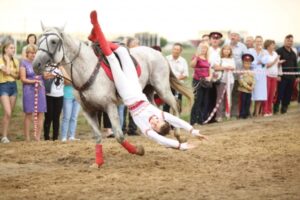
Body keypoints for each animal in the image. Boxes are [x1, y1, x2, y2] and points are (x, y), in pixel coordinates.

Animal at [32, 24, 192, 162]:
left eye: (53, 41)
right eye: (39, 41)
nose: (36, 65)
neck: (86, 68)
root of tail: (158, 53)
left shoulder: (110, 106)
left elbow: (119, 136)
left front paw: (138, 150)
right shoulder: (88, 110)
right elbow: (97, 136)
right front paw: (98, 162)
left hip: (162, 88)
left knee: (175, 104)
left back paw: (179, 135)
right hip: (148, 91)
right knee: (160, 109)